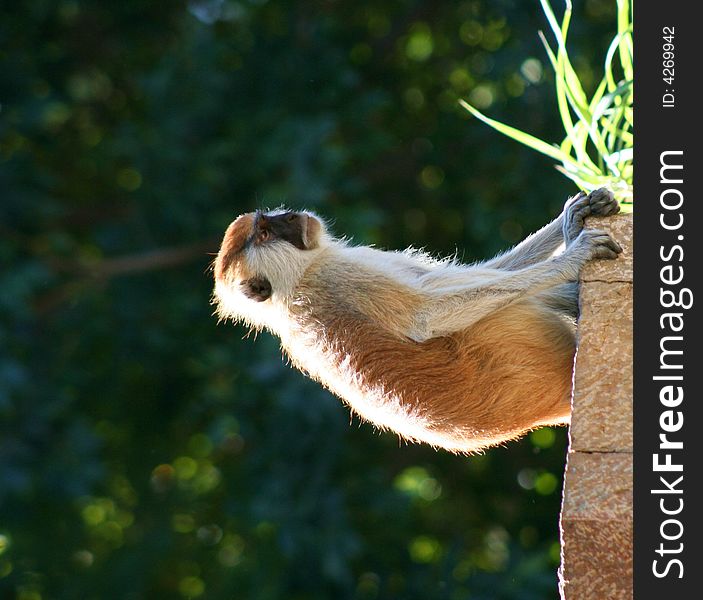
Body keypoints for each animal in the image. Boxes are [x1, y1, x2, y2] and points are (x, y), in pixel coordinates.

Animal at [212, 190, 620, 452]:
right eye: (266, 233)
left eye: (269, 220)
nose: (293, 217)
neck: (291, 288)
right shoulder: (338, 280)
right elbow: (426, 317)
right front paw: (575, 250)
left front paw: (573, 217)